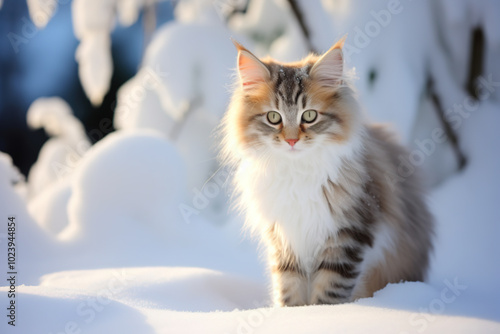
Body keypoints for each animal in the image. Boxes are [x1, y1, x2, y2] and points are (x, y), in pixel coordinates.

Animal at [220, 37, 434, 306]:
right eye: (273, 117)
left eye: (310, 115)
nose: (291, 141)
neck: (297, 175)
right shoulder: (284, 240)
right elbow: (289, 288)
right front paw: (290, 312)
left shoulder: (348, 235)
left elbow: (330, 291)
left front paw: (322, 312)